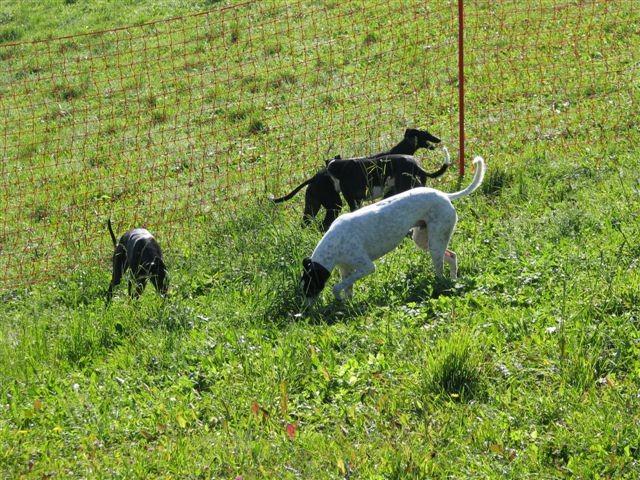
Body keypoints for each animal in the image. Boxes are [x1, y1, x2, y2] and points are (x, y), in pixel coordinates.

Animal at [270, 128, 444, 230]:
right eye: (425, 133)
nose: (439, 139)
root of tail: (313, 178)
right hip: (334, 204)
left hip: (315, 206)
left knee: (309, 224)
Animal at [300, 156, 484, 302]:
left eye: (310, 286)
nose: (305, 309)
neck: (335, 242)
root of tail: (445, 195)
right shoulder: (346, 270)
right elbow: (347, 288)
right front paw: (346, 305)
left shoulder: (366, 267)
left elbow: (336, 287)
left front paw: (338, 298)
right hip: (424, 240)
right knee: (452, 256)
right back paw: (453, 280)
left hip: (435, 242)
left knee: (441, 269)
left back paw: (441, 284)